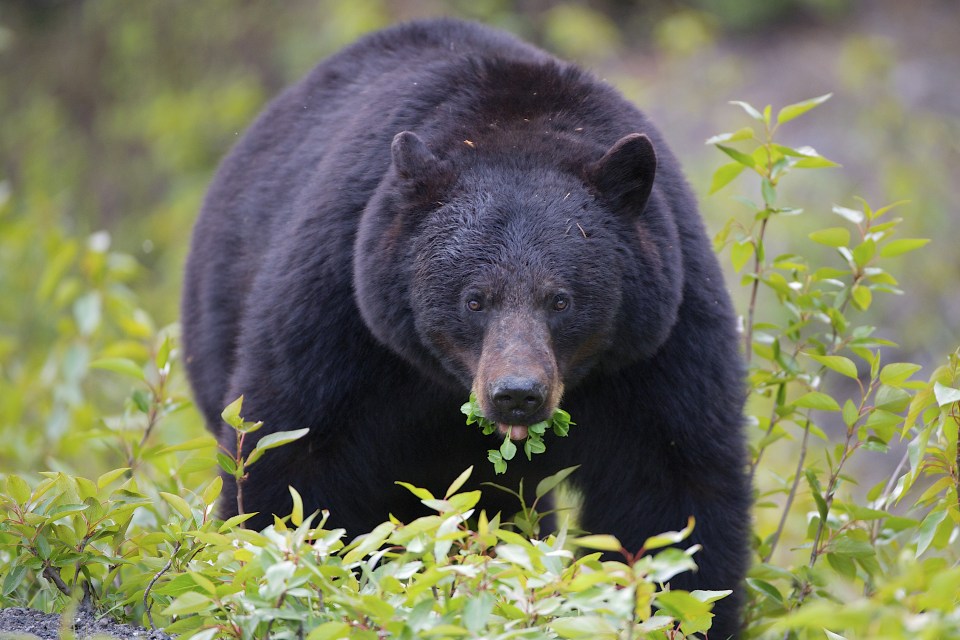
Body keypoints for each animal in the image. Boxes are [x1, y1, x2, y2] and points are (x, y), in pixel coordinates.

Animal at [180, 18, 752, 636]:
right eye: (475, 300)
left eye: (561, 300)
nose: (517, 394)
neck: (515, 125)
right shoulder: (341, 304)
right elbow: (295, 460)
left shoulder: (659, 340)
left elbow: (671, 488)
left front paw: (678, 609)